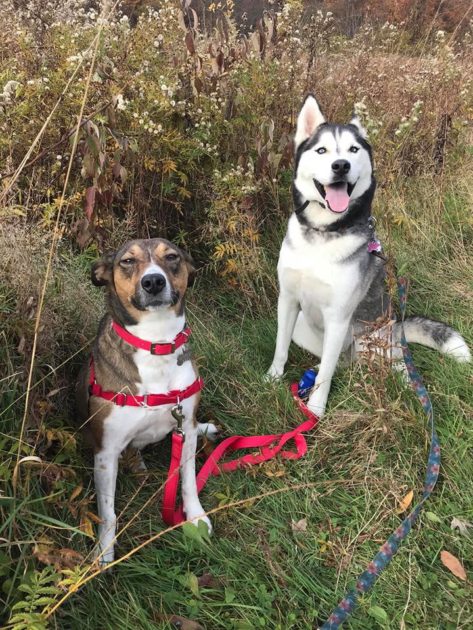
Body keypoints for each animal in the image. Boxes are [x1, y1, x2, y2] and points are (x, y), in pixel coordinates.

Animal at [76, 239, 215, 564]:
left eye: (172, 257)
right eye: (127, 261)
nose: (153, 282)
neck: (157, 342)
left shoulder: (184, 428)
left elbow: (188, 481)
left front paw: (195, 518)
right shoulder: (106, 451)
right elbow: (108, 512)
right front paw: (104, 552)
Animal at [268, 95, 470, 420]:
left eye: (353, 149)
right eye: (322, 150)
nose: (341, 165)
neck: (324, 233)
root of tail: (396, 328)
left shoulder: (338, 318)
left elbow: (326, 375)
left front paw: (316, 409)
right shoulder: (287, 299)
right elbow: (280, 347)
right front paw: (272, 378)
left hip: (370, 344)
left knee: (391, 368)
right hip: (306, 330)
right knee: (334, 361)